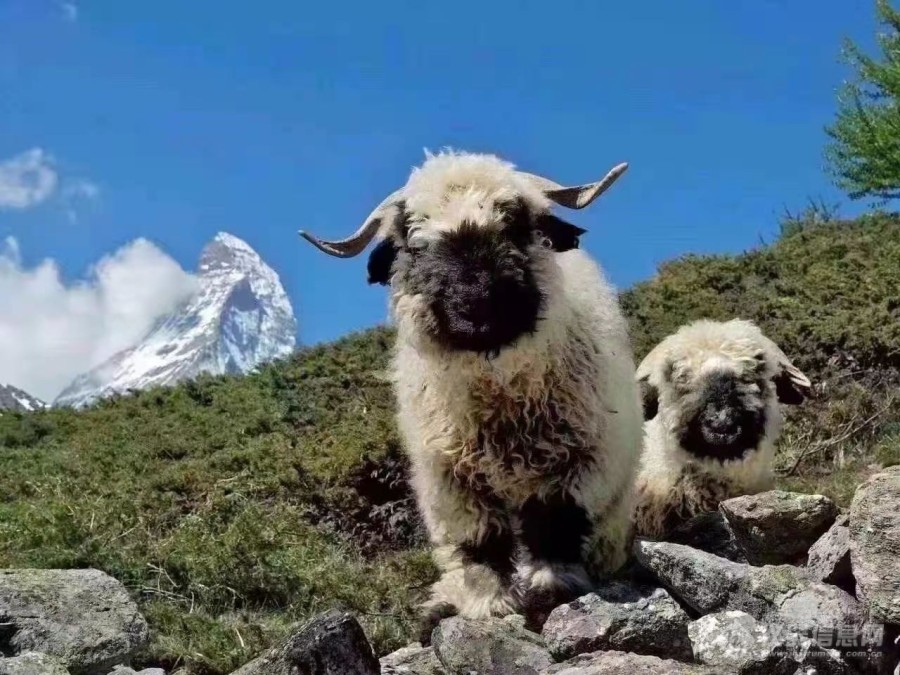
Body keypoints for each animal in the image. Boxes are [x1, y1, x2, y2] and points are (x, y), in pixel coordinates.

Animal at [298, 151, 644, 636]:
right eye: (413, 243)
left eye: (515, 224)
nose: (479, 306)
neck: (502, 406)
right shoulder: (450, 480)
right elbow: (479, 543)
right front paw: (489, 607)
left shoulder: (583, 462)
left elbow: (555, 522)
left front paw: (551, 590)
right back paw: (440, 606)